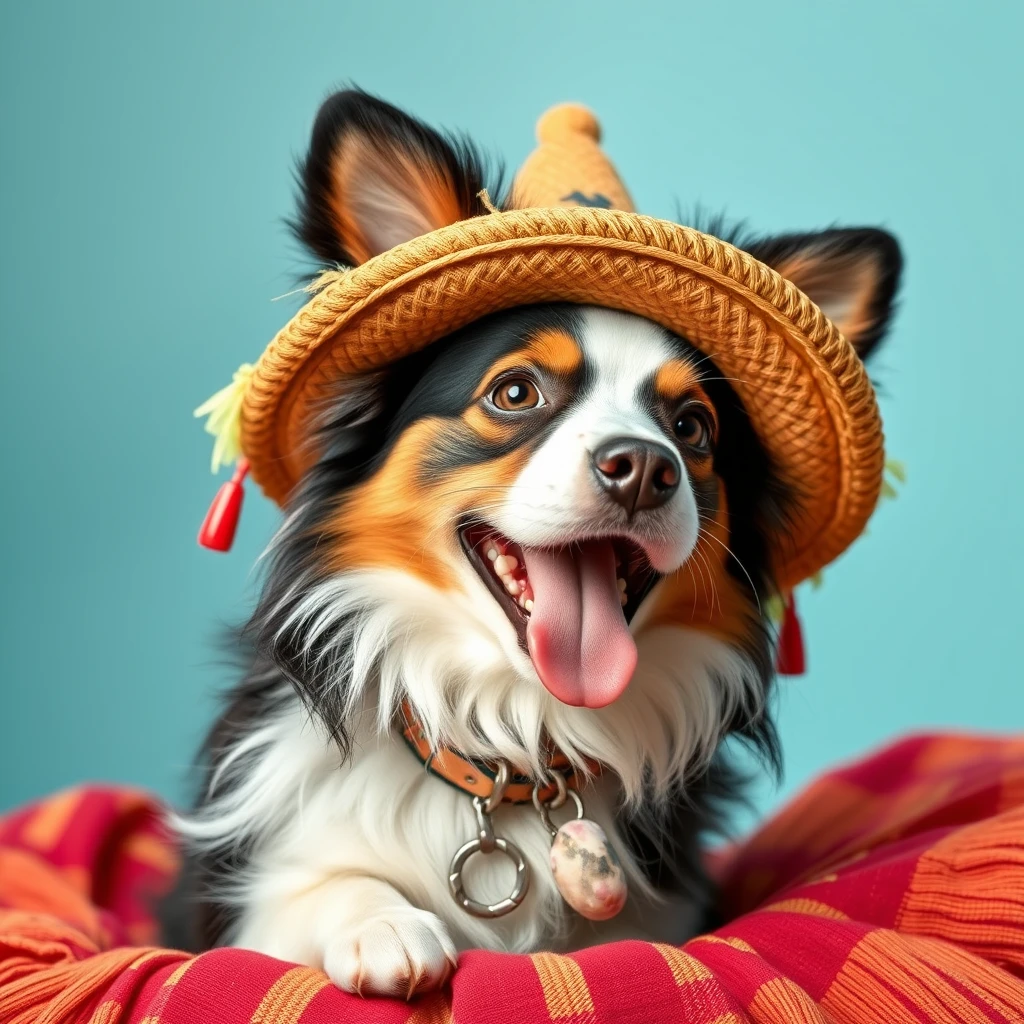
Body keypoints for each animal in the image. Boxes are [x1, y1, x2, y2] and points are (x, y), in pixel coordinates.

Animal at [172, 90, 901, 999]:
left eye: (693, 429)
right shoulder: (230, 900)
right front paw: (379, 921)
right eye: (515, 393)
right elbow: (301, 899)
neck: (518, 744)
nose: (645, 469)